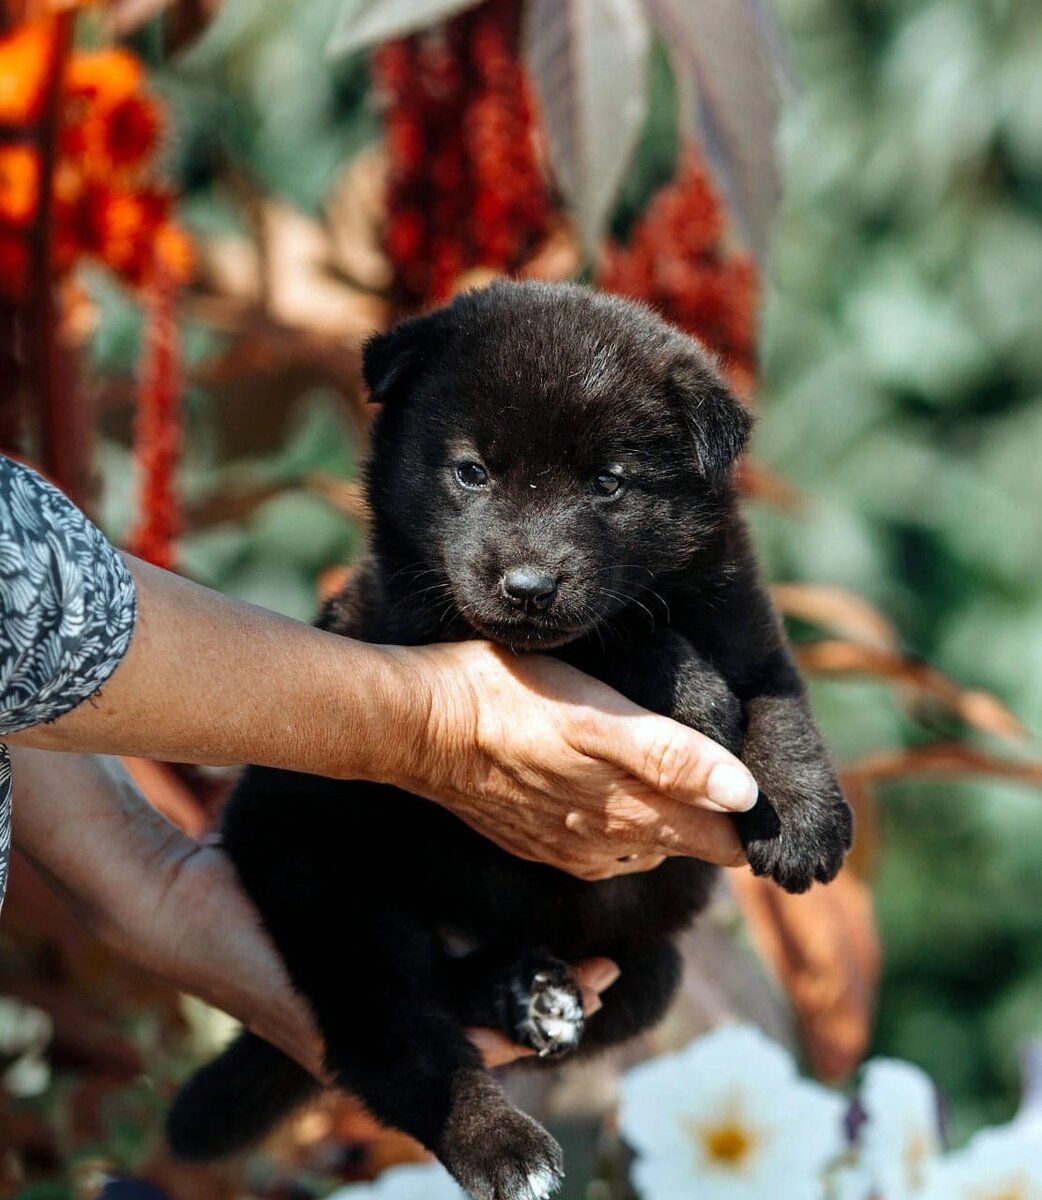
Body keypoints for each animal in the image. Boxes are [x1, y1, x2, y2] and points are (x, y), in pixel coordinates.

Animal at [169, 283, 854, 1200]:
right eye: (471, 472)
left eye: (609, 483)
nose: (528, 586)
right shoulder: (427, 613)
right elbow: (602, 639)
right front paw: (693, 695)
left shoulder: (742, 614)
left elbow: (781, 704)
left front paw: (804, 818)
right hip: (326, 885)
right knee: (399, 1038)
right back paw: (503, 1143)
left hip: (651, 967)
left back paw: (525, 993)